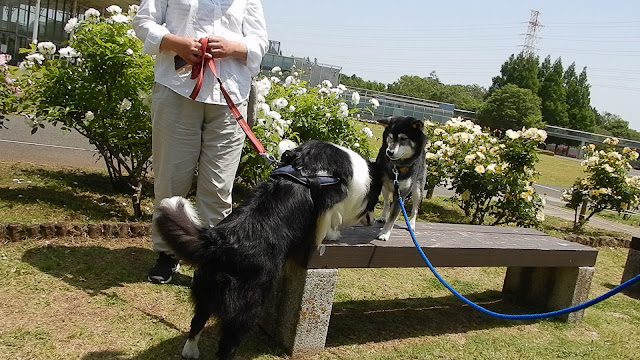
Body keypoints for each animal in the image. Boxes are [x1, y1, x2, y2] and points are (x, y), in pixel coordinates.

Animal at [155, 141, 380, 360]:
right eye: (375, 202)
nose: (374, 221)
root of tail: (216, 241)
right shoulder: (330, 201)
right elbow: (329, 220)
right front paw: (332, 235)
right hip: (248, 304)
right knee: (227, 344)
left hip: (205, 290)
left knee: (196, 322)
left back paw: (190, 352)